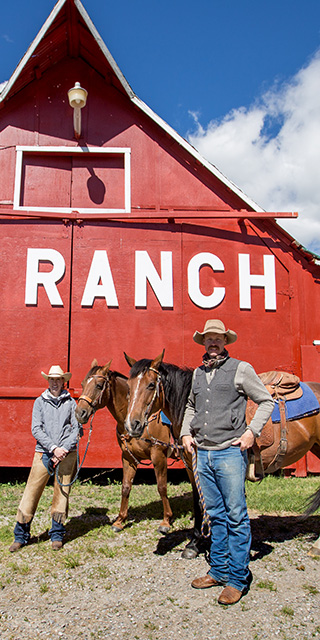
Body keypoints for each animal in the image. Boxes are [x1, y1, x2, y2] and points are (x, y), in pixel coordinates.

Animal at [75, 360, 179, 536]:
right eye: (82, 384)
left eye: (99, 385)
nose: (79, 413)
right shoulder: (128, 457)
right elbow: (125, 487)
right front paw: (120, 520)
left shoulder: (159, 455)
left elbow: (162, 487)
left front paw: (166, 521)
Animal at [124, 352, 320, 556]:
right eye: (128, 386)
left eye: (151, 385)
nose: (132, 425)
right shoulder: (191, 467)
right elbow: (199, 501)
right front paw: (195, 543)